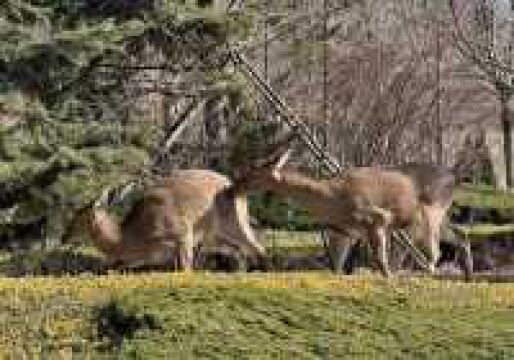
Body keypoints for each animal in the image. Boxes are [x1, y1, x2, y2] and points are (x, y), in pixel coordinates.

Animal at [63, 170, 264, 272]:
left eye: (78, 215)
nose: (63, 236)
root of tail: (232, 185)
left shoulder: (183, 234)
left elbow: (186, 269)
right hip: (216, 236)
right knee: (241, 252)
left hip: (234, 223)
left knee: (257, 247)